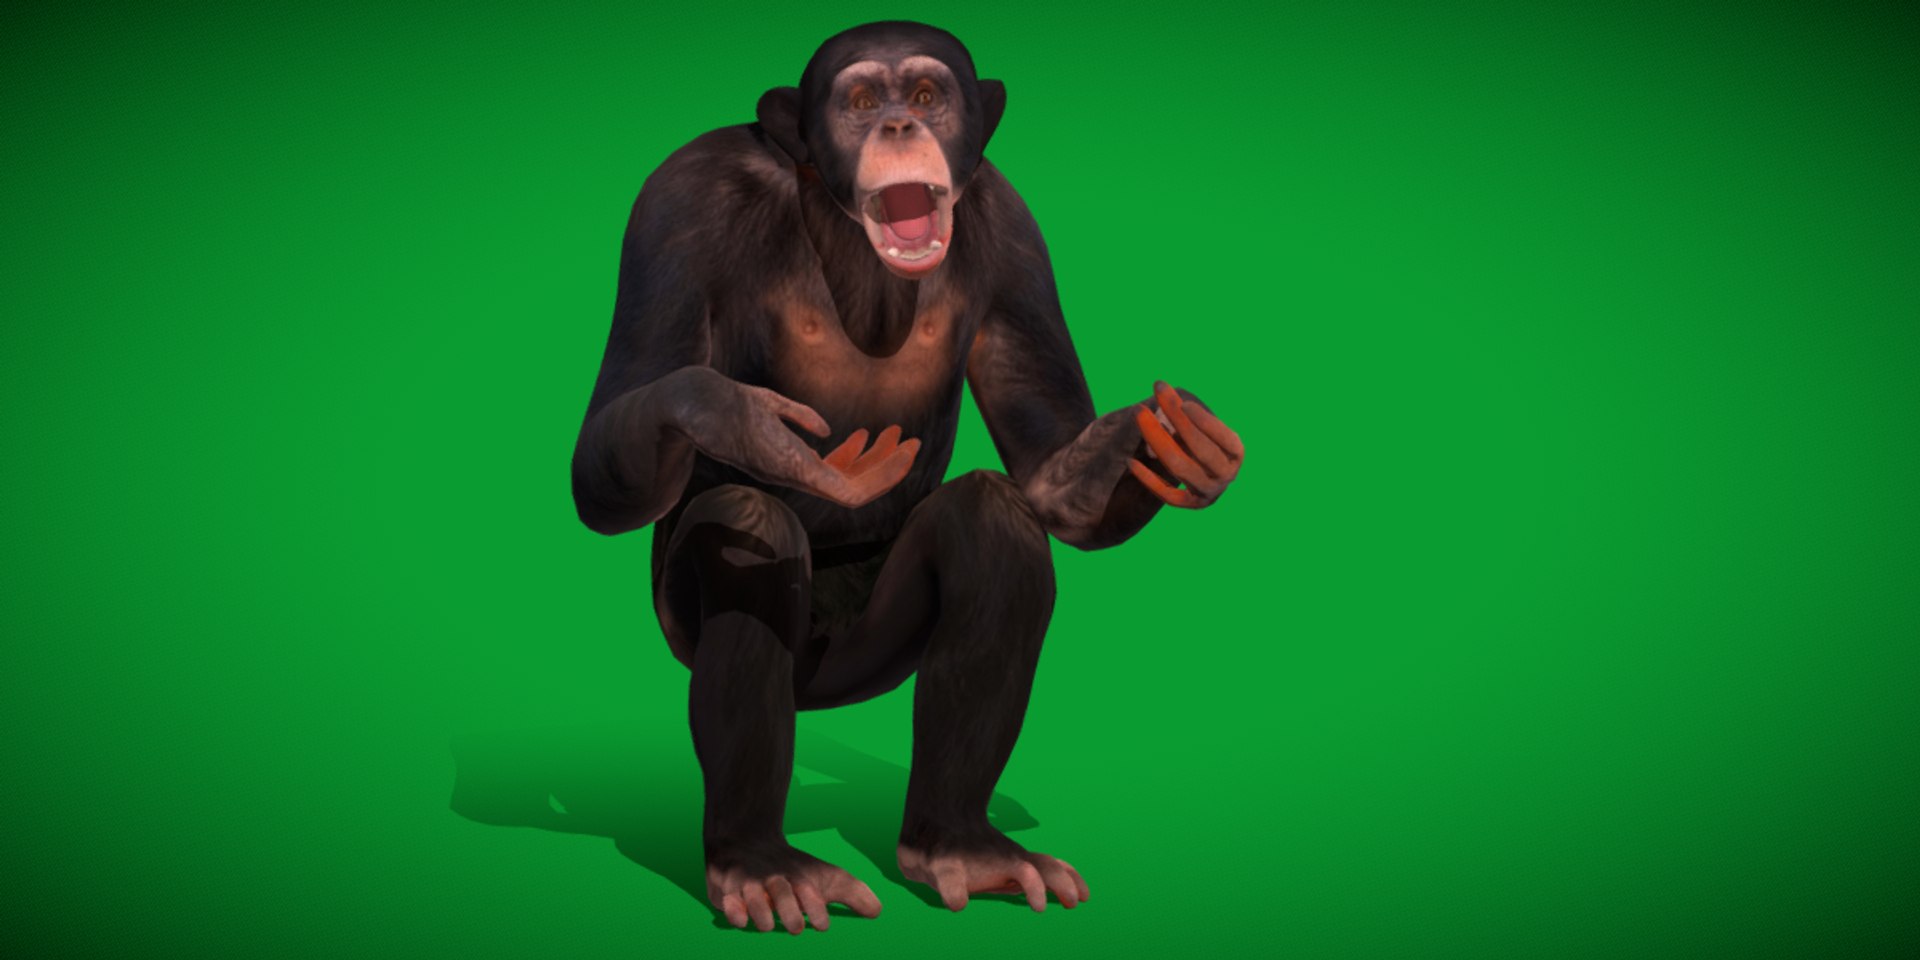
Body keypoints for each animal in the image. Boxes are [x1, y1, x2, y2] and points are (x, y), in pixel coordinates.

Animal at [571, 21, 1245, 934]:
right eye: (860, 101)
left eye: (926, 95)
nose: (897, 125)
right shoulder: (679, 203)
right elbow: (618, 422)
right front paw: (734, 418)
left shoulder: (1014, 232)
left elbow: (1047, 468)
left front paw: (1164, 443)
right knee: (746, 527)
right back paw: (759, 864)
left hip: (871, 656)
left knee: (992, 520)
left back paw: (959, 844)